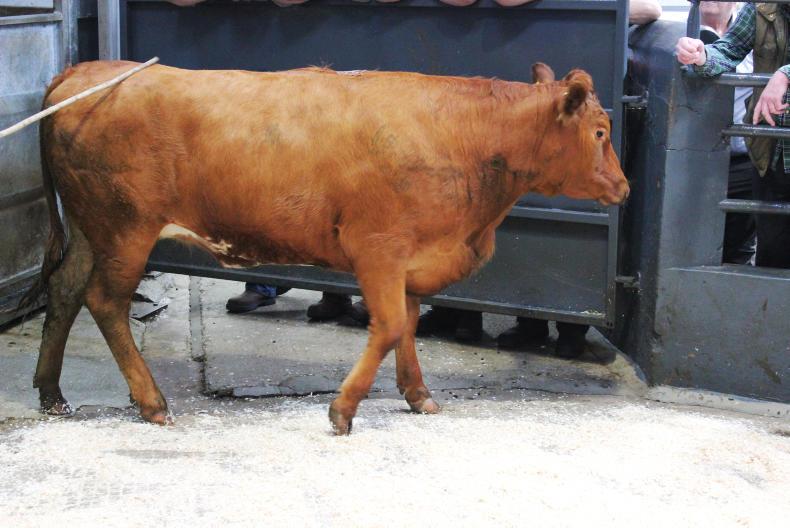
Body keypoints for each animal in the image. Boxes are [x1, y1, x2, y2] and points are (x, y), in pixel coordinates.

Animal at [25, 61, 628, 434]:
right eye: (600, 132)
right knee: (105, 303)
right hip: (126, 230)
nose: (624, 187)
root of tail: (84, 72)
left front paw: (417, 394)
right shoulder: (378, 248)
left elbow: (408, 325)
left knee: (65, 291)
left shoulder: (411, 259)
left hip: (92, 230)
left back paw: (51, 393)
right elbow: (389, 326)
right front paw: (343, 409)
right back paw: (152, 402)